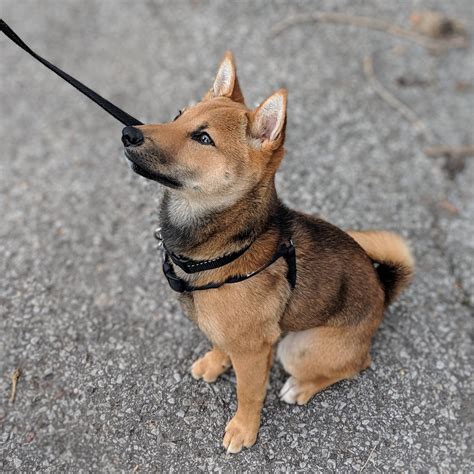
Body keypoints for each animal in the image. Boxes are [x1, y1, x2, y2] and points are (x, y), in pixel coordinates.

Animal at [122, 51, 414, 452]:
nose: (128, 133)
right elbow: (221, 343)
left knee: (356, 365)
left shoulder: (253, 348)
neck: (225, 243)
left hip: (299, 346)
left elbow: (248, 392)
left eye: (203, 138)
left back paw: (300, 388)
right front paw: (215, 362)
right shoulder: (236, 336)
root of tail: (382, 292)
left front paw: (244, 429)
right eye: (178, 114)